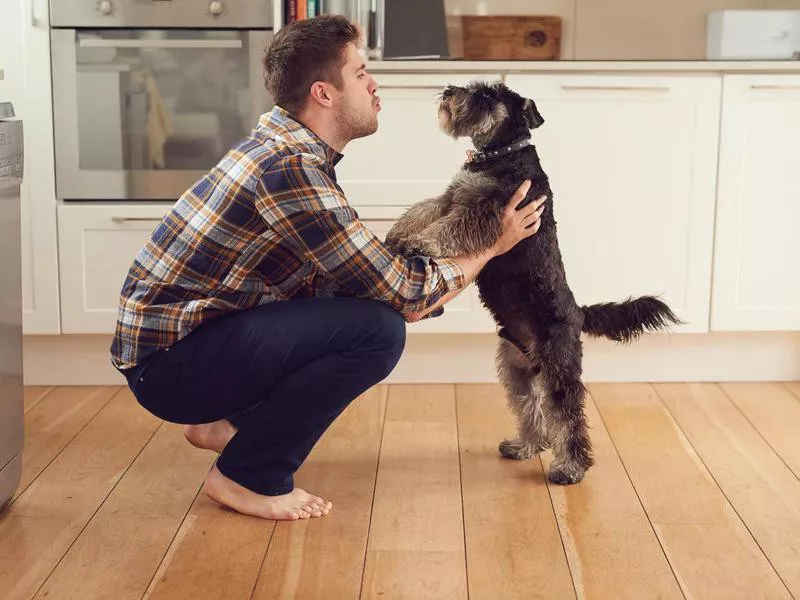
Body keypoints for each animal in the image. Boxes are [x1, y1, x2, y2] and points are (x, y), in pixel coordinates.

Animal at [384, 81, 680, 482]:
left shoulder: (486, 211)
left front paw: (419, 242)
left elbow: (449, 228)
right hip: (516, 370)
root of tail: (578, 313)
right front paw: (399, 234)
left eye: (486, 95)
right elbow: (423, 208)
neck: (500, 153)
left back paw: (570, 468)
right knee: (532, 410)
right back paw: (524, 446)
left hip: (558, 368)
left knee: (568, 417)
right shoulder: (453, 196)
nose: (447, 89)